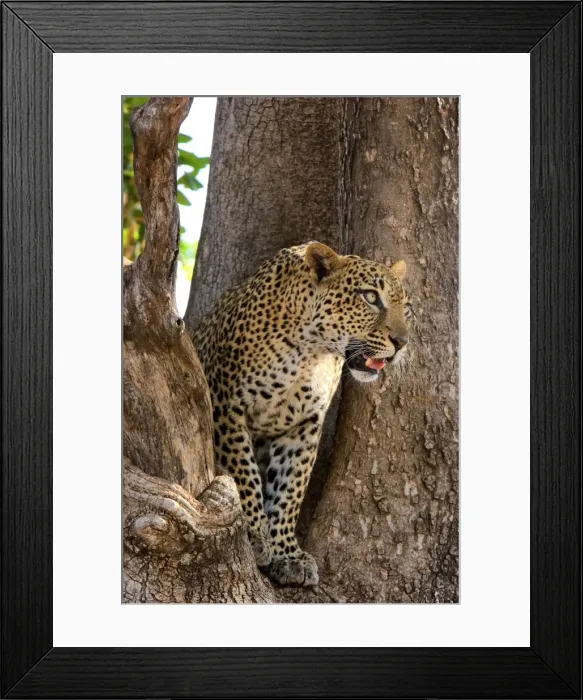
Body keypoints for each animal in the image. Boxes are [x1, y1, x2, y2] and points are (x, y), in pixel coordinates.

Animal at [192, 242, 411, 587]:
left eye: (407, 307)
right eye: (370, 297)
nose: (402, 343)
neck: (311, 352)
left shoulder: (303, 426)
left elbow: (290, 488)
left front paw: (288, 555)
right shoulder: (226, 408)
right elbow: (244, 476)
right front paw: (255, 537)